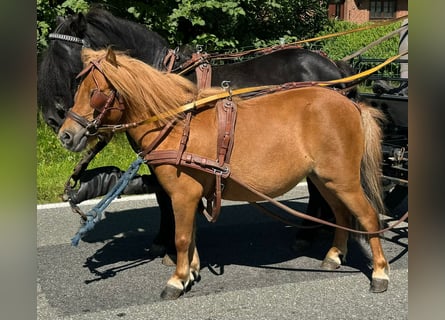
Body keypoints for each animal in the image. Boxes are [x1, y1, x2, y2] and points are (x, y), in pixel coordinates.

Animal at [38, 6, 356, 258]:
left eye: (64, 56)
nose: (55, 121)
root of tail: (333, 67)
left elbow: (164, 196)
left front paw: (163, 241)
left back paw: (307, 233)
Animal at [59, 48, 388, 300]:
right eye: (78, 89)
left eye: (95, 93)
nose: (66, 135)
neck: (177, 126)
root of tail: (351, 103)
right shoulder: (191, 195)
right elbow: (191, 234)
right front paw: (190, 272)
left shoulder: (182, 194)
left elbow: (181, 237)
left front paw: (176, 279)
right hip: (326, 179)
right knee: (341, 214)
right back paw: (333, 256)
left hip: (343, 180)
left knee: (368, 218)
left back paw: (380, 273)